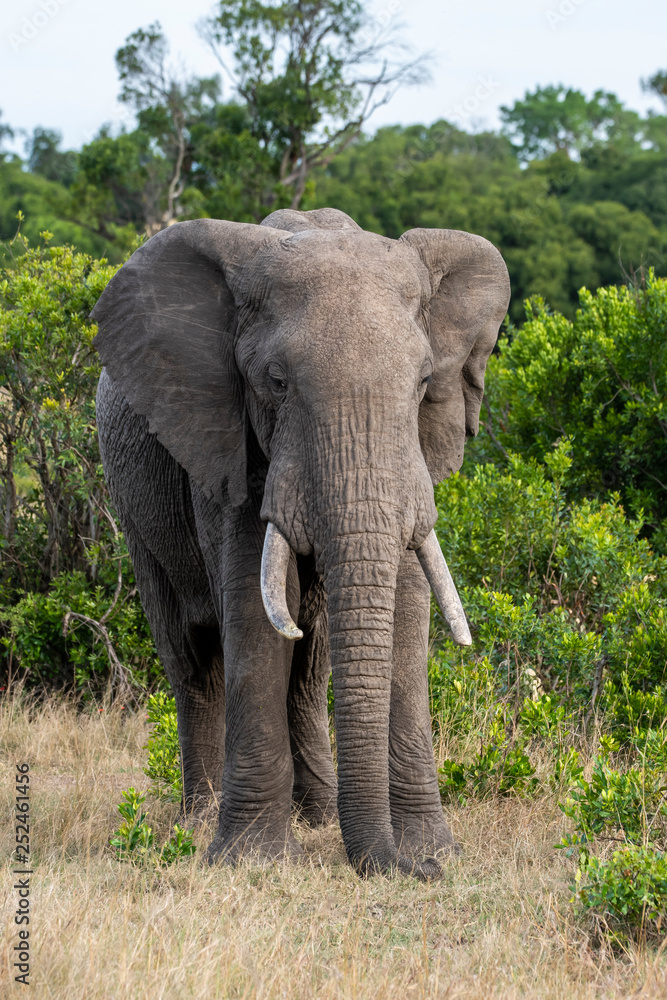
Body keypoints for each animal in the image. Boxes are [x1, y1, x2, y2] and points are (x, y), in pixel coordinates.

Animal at [92, 207, 510, 880]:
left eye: (425, 382)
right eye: (276, 382)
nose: (405, 869)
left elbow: (407, 602)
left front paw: (431, 850)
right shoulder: (224, 439)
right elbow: (252, 607)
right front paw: (248, 861)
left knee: (309, 664)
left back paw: (314, 815)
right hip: (132, 509)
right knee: (191, 659)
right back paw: (198, 821)